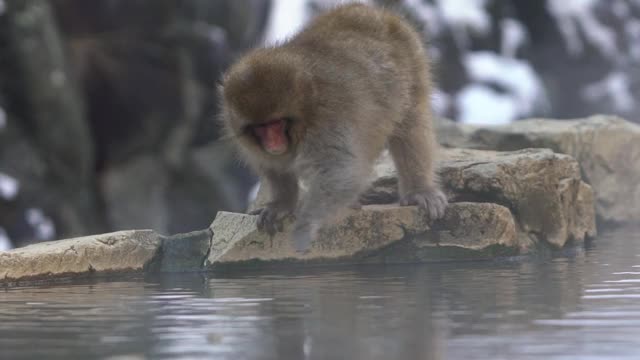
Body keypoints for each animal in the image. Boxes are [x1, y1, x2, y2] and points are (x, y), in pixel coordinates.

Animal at [220, 2, 444, 252]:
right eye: (261, 128)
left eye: (276, 123)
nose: (273, 142)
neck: (306, 105)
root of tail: (372, 11)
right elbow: (275, 167)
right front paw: (282, 204)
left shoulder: (328, 121)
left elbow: (340, 172)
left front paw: (306, 223)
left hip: (412, 62)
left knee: (410, 125)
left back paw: (418, 190)